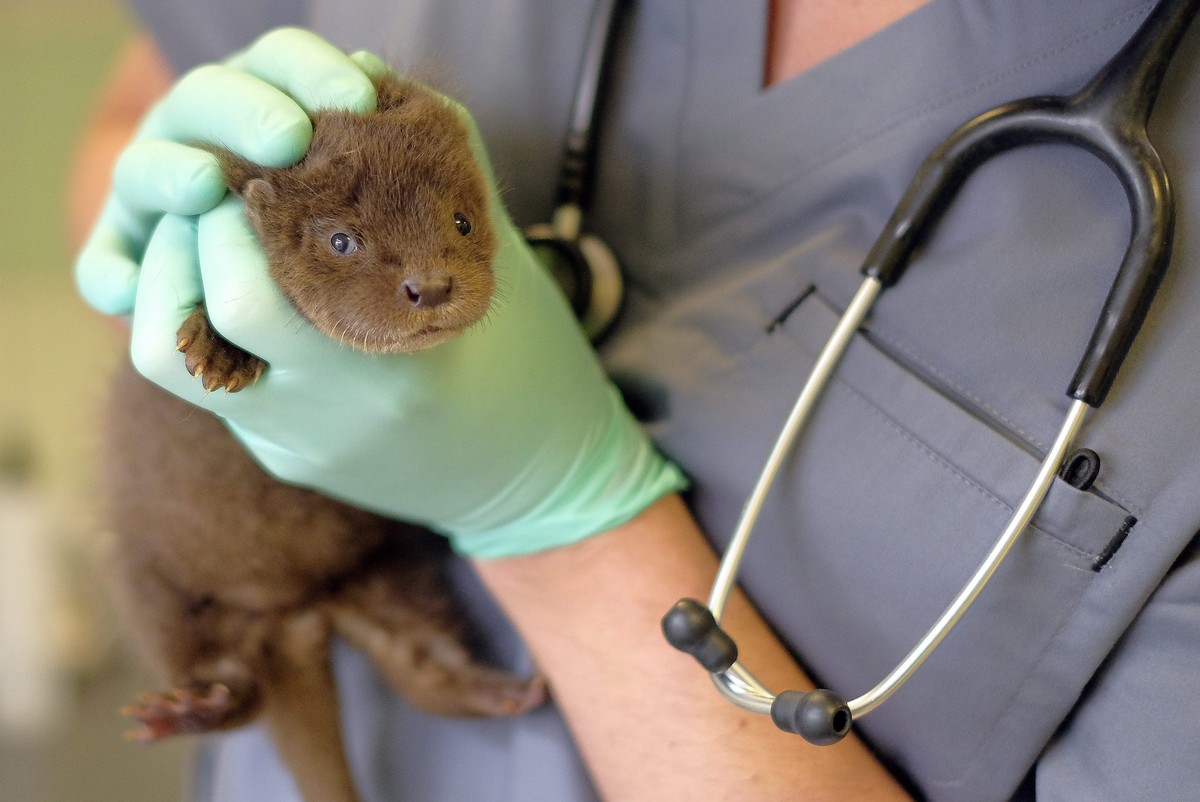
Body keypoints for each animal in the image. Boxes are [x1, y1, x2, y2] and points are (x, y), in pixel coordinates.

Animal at [102, 74, 545, 802]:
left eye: (461, 221)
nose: (431, 285)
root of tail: (294, 620)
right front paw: (219, 348)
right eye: (341, 241)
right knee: (232, 686)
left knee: (420, 665)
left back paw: (498, 692)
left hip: (391, 572)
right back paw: (188, 708)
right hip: (146, 584)